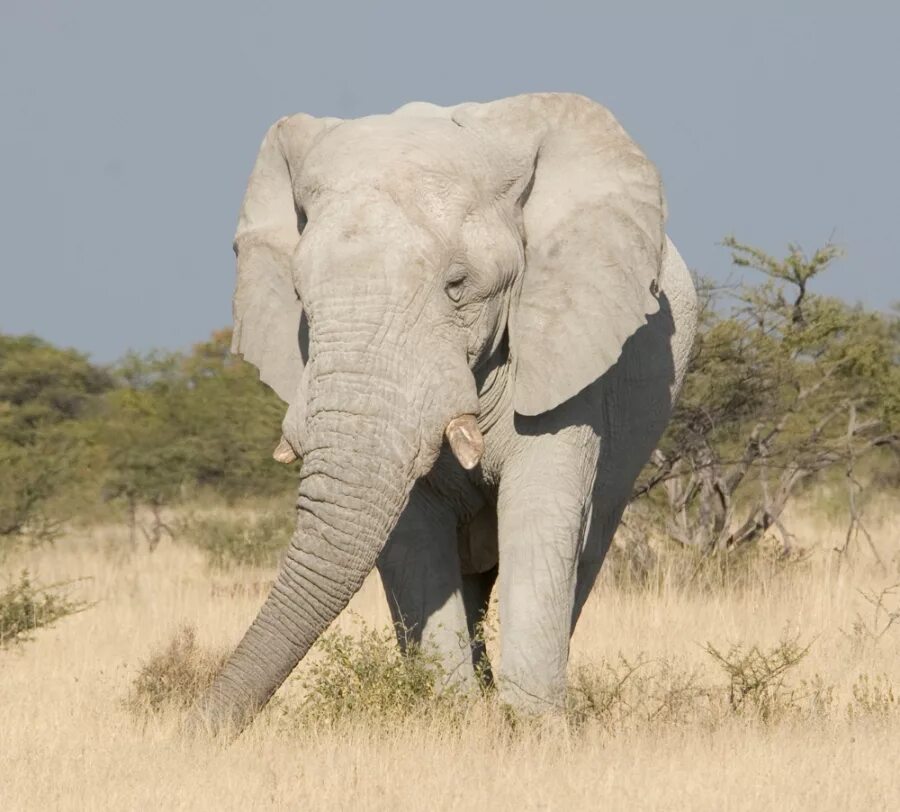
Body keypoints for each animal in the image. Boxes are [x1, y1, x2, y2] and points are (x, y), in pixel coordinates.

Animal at [200, 92, 700, 732]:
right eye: (300, 297)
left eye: (458, 286)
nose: (193, 727)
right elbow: (414, 537)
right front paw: (451, 720)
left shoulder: (569, 347)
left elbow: (541, 514)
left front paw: (533, 731)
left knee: (586, 546)